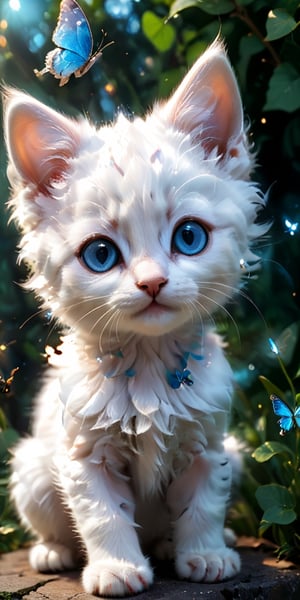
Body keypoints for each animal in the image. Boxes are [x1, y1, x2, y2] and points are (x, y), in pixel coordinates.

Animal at [4, 41, 264, 596]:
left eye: (189, 236)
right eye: (101, 255)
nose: (152, 283)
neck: (147, 367)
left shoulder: (208, 446)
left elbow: (203, 506)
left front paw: (205, 554)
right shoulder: (83, 455)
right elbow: (104, 515)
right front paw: (116, 568)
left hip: (235, 450)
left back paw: (182, 544)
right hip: (34, 468)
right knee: (52, 521)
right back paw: (53, 551)